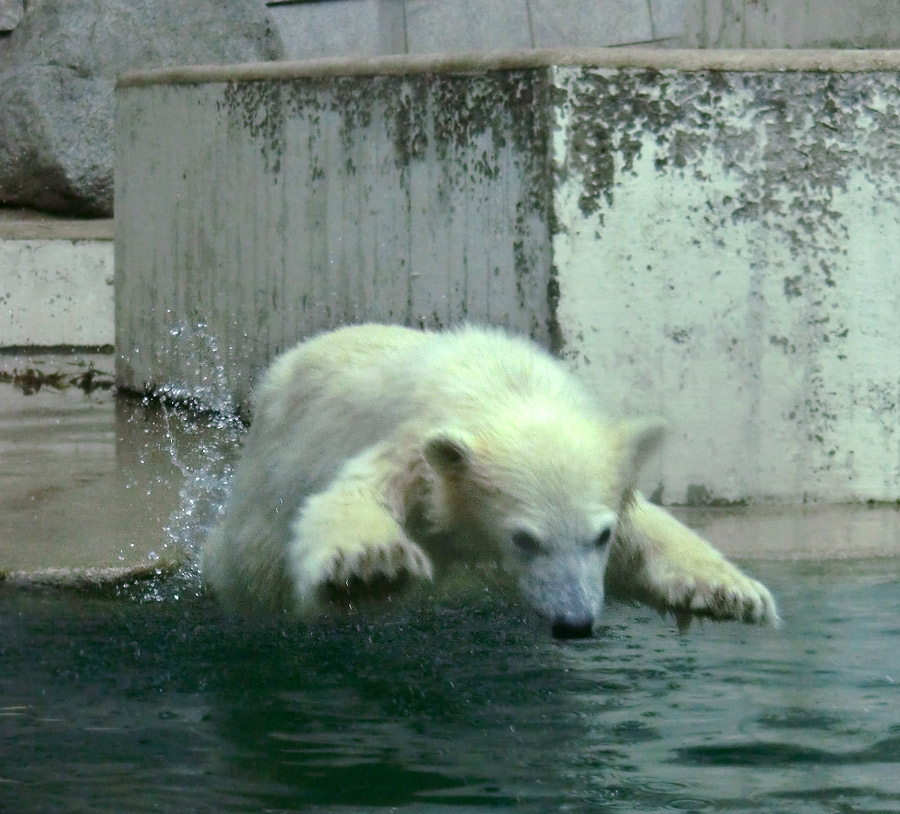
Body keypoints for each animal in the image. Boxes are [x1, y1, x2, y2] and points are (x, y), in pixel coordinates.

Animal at [200, 324, 776, 636]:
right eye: (524, 539)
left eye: (600, 536)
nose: (574, 624)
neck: (504, 389)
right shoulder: (419, 446)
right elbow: (353, 496)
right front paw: (372, 568)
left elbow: (645, 529)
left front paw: (731, 593)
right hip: (268, 485)